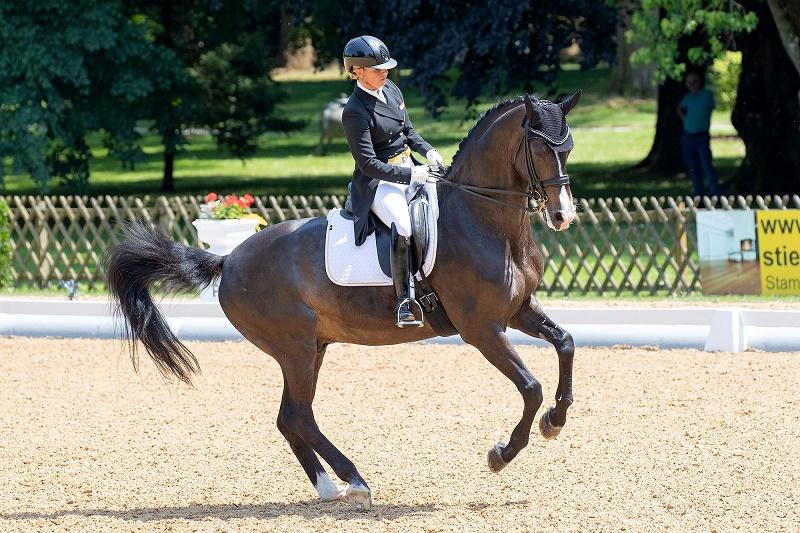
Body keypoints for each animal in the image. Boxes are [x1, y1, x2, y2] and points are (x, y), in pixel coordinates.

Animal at [106, 91, 580, 512]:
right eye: (540, 147)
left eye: (569, 147)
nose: (563, 216)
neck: (483, 219)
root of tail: (229, 259)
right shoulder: (480, 328)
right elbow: (530, 387)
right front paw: (502, 453)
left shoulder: (517, 309)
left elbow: (566, 343)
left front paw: (554, 422)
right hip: (295, 349)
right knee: (299, 415)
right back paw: (355, 482)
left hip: (312, 348)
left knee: (289, 416)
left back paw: (330, 488)